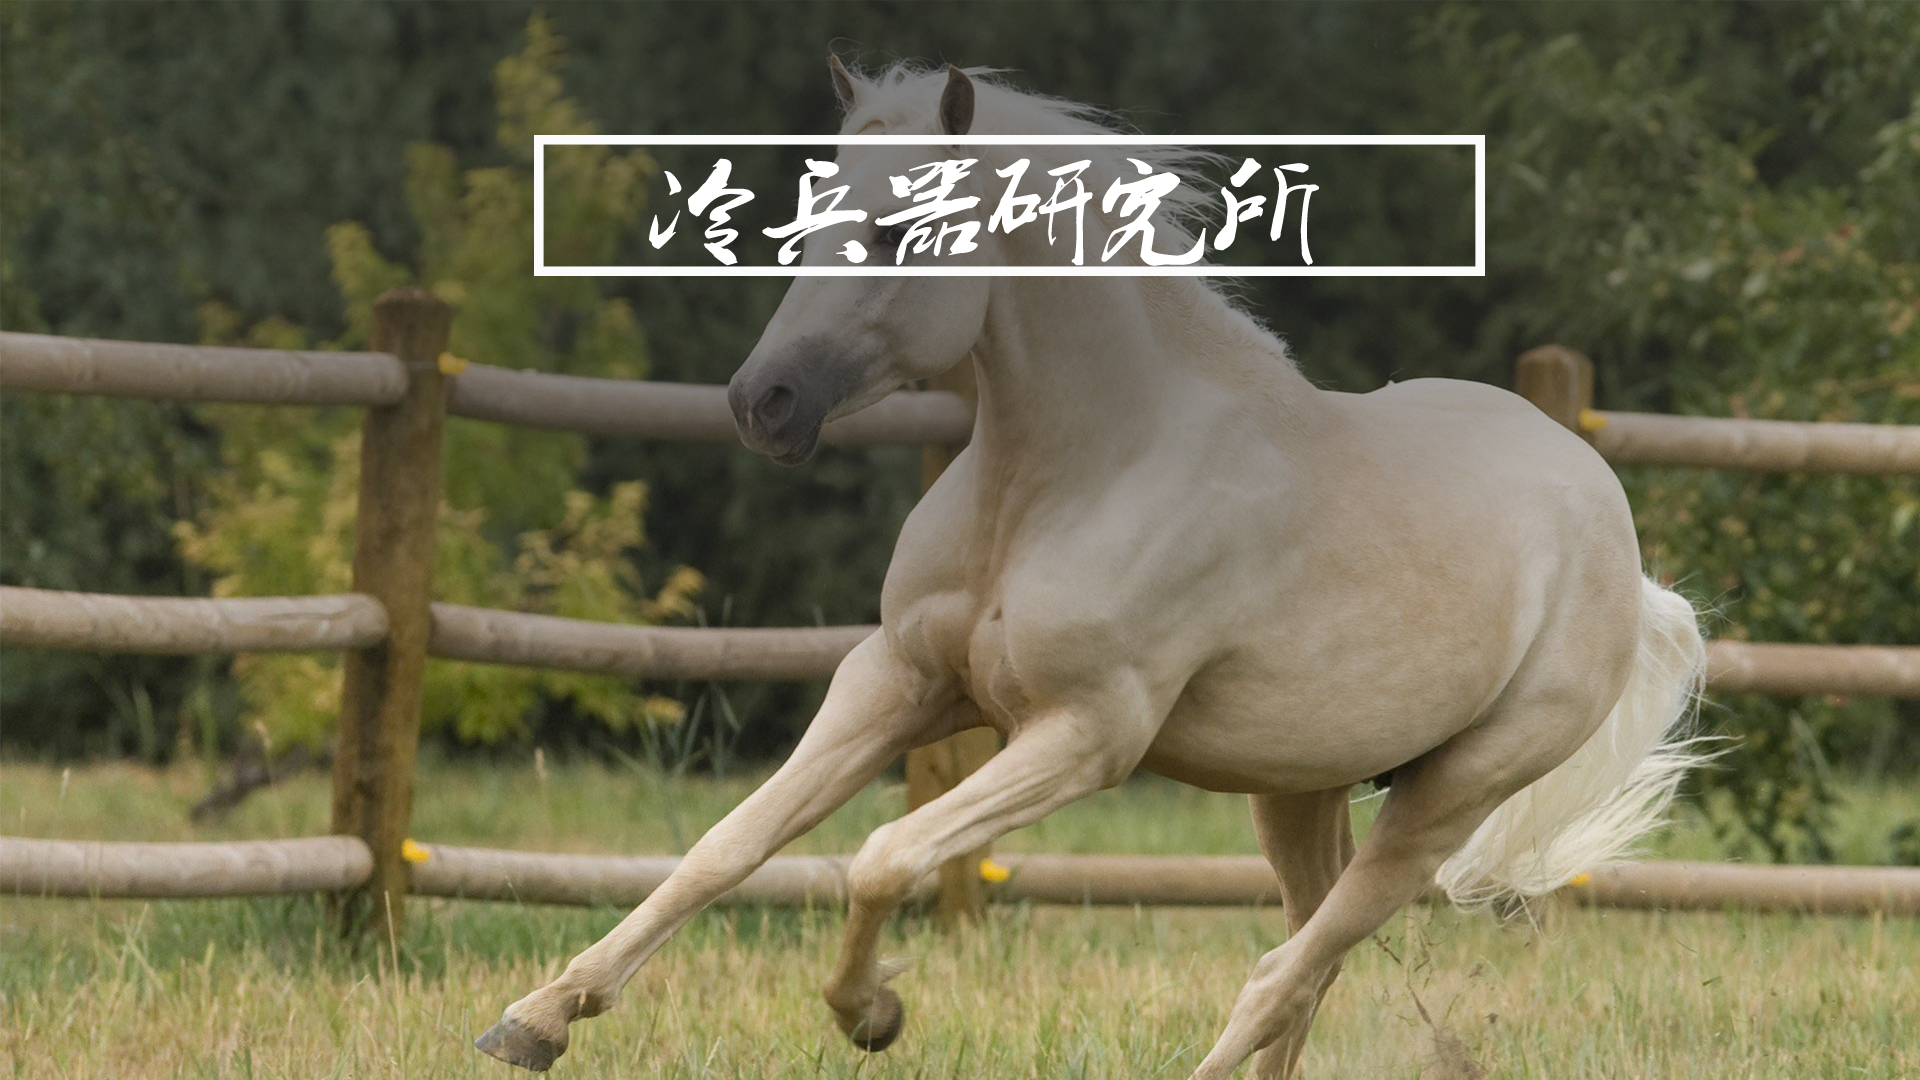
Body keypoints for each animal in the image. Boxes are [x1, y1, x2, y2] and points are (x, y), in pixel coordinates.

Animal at [477, 59, 1707, 1078]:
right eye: (806, 224)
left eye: (897, 232)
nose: (761, 403)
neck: (1064, 478)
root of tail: (1615, 538)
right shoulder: (895, 682)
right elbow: (725, 847)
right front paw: (536, 1019)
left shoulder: (1084, 735)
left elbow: (882, 855)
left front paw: (871, 1014)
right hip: (1298, 787)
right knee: (1309, 962)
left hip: (1451, 798)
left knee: (1284, 972)